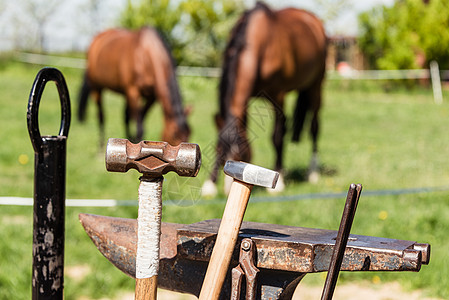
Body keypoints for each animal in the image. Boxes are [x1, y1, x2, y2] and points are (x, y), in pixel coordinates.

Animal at [202, 1, 326, 197]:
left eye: (241, 155)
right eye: (218, 150)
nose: (228, 189)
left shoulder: (278, 96)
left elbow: (277, 135)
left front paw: (280, 181)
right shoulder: (244, 102)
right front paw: (209, 185)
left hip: (316, 86)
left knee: (314, 126)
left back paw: (312, 173)